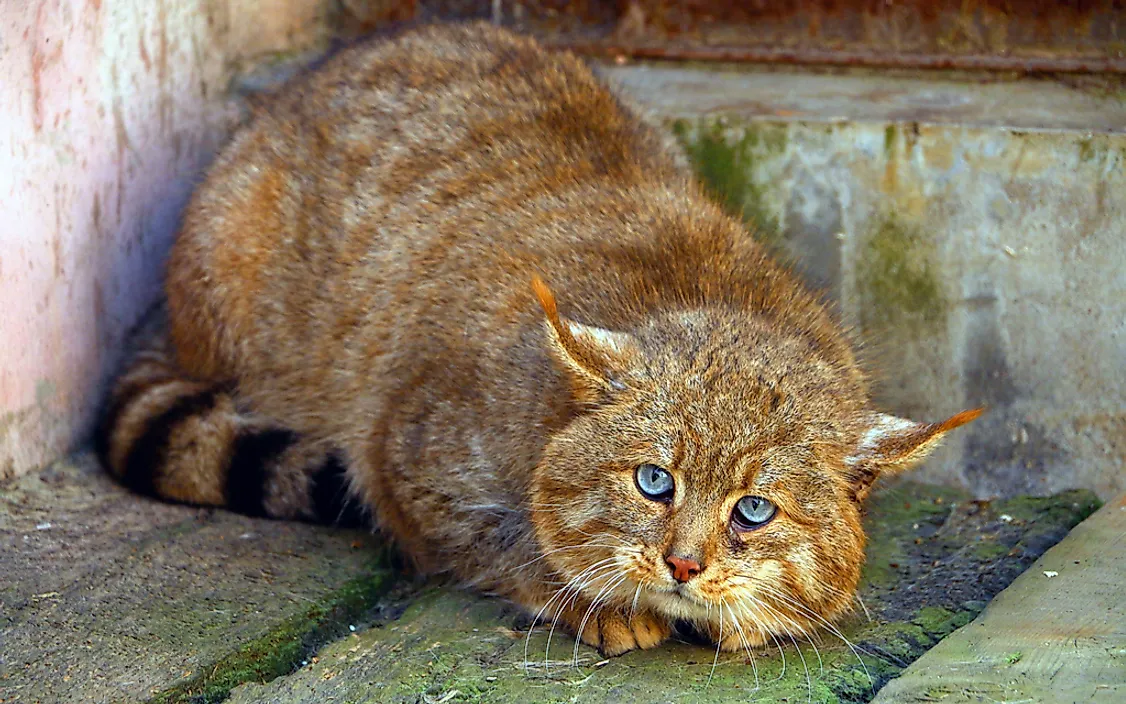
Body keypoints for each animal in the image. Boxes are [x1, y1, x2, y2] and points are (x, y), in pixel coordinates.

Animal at [96, 23, 977, 657]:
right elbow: (500, 542)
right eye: (653, 482)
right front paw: (590, 600)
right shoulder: (403, 459)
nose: (683, 564)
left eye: (754, 510)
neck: (710, 297)